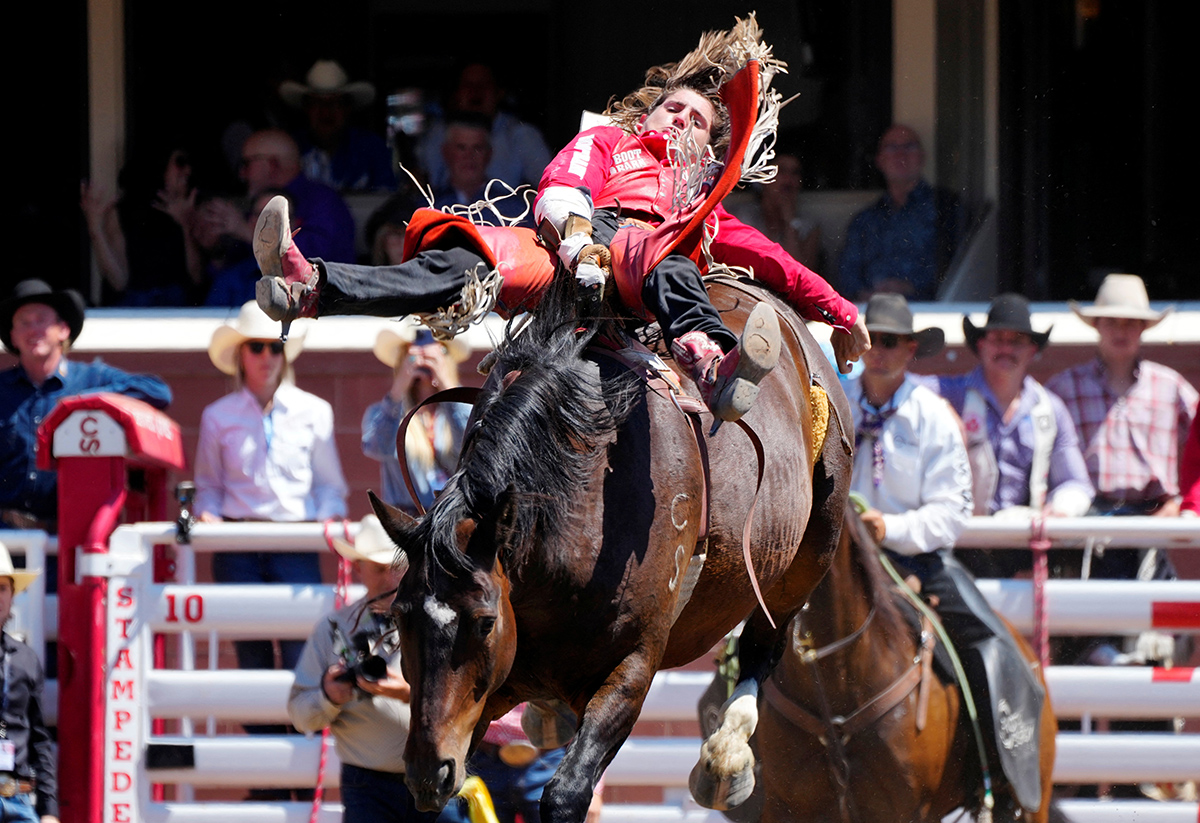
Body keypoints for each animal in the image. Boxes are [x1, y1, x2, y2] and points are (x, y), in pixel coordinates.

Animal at [374, 277, 854, 823]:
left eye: (484, 621)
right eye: (398, 618)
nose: (428, 771)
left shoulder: (633, 666)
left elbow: (565, 794)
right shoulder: (487, 694)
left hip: (812, 551)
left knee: (763, 642)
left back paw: (726, 760)